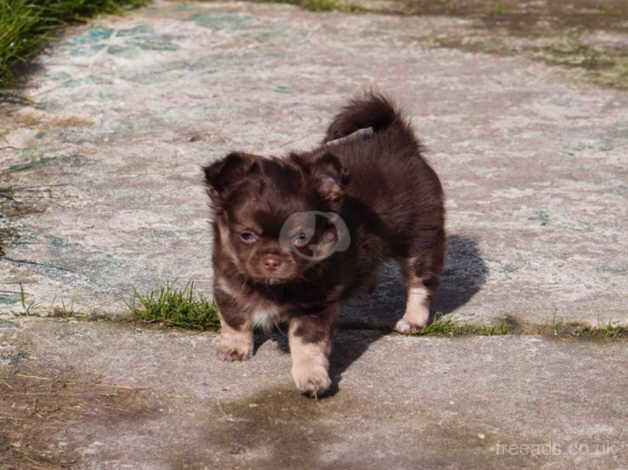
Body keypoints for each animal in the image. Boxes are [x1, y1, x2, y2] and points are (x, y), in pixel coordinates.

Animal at [204, 95, 444, 396]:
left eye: (301, 238)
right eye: (246, 236)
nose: (271, 260)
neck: (271, 287)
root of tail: (396, 139)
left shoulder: (313, 306)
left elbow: (307, 344)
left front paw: (311, 377)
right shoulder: (227, 284)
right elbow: (234, 318)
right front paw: (235, 347)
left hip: (420, 241)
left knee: (420, 283)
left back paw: (412, 320)